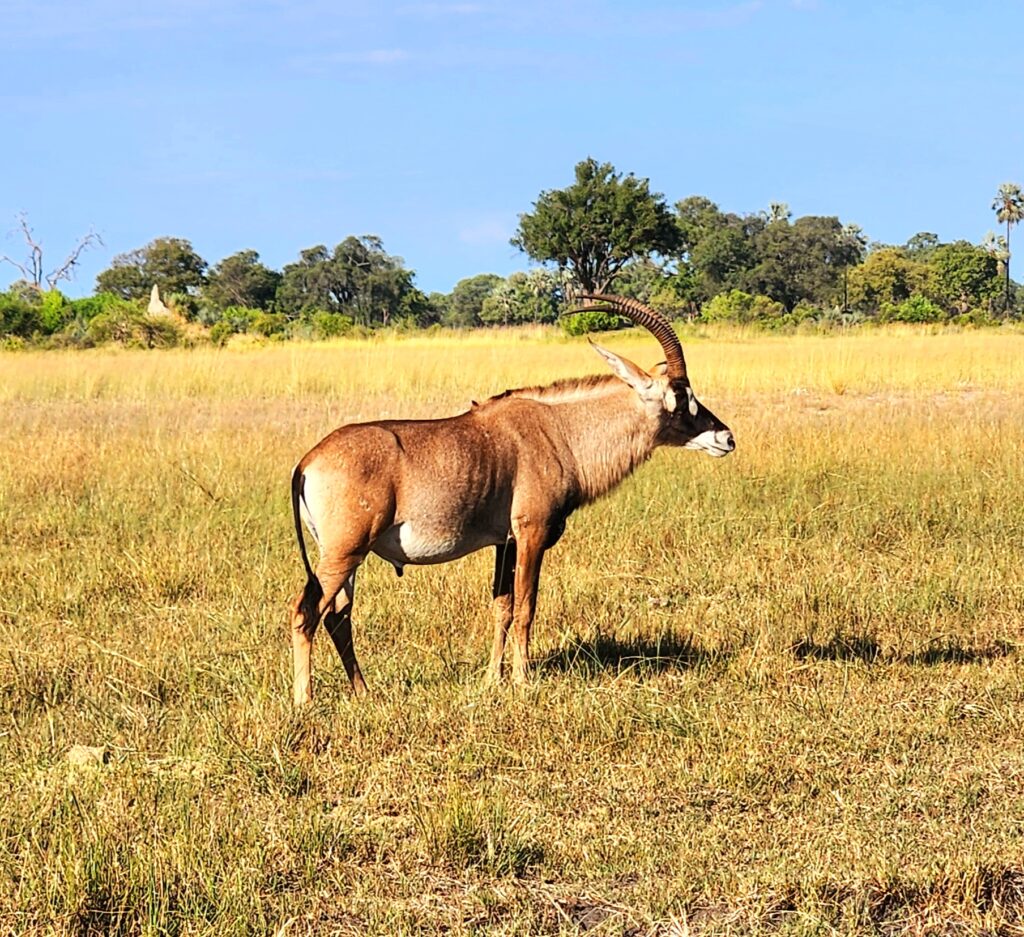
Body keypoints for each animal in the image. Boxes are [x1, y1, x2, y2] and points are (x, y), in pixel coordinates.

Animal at [292, 294, 733, 704]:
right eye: (681, 395)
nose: (726, 438)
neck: (560, 430)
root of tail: (308, 462)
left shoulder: (503, 544)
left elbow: (501, 608)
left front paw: (493, 679)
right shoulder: (531, 534)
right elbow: (526, 606)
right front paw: (523, 681)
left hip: (348, 557)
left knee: (338, 616)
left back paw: (363, 691)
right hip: (344, 552)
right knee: (307, 612)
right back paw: (305, 700)